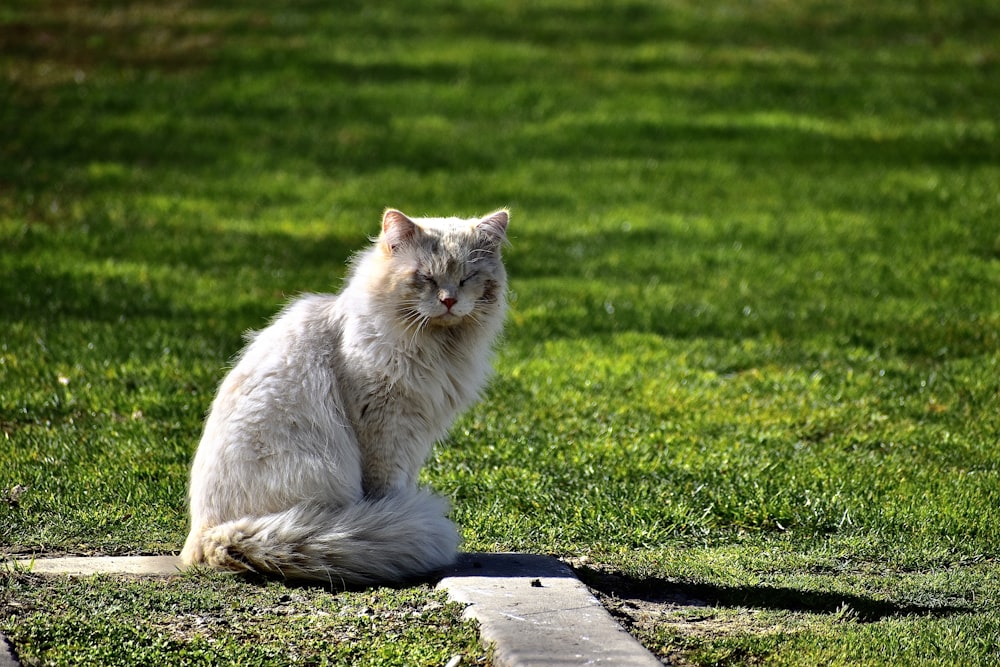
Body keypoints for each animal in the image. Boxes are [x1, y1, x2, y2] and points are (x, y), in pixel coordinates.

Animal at [180, 207, 508, 584]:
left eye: (468, 277)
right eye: (425, 277)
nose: (449, 300)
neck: (437, 348)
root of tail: (207, 536)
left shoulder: (415, 436)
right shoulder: (385, 430)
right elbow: (390, 489)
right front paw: (398, 513)